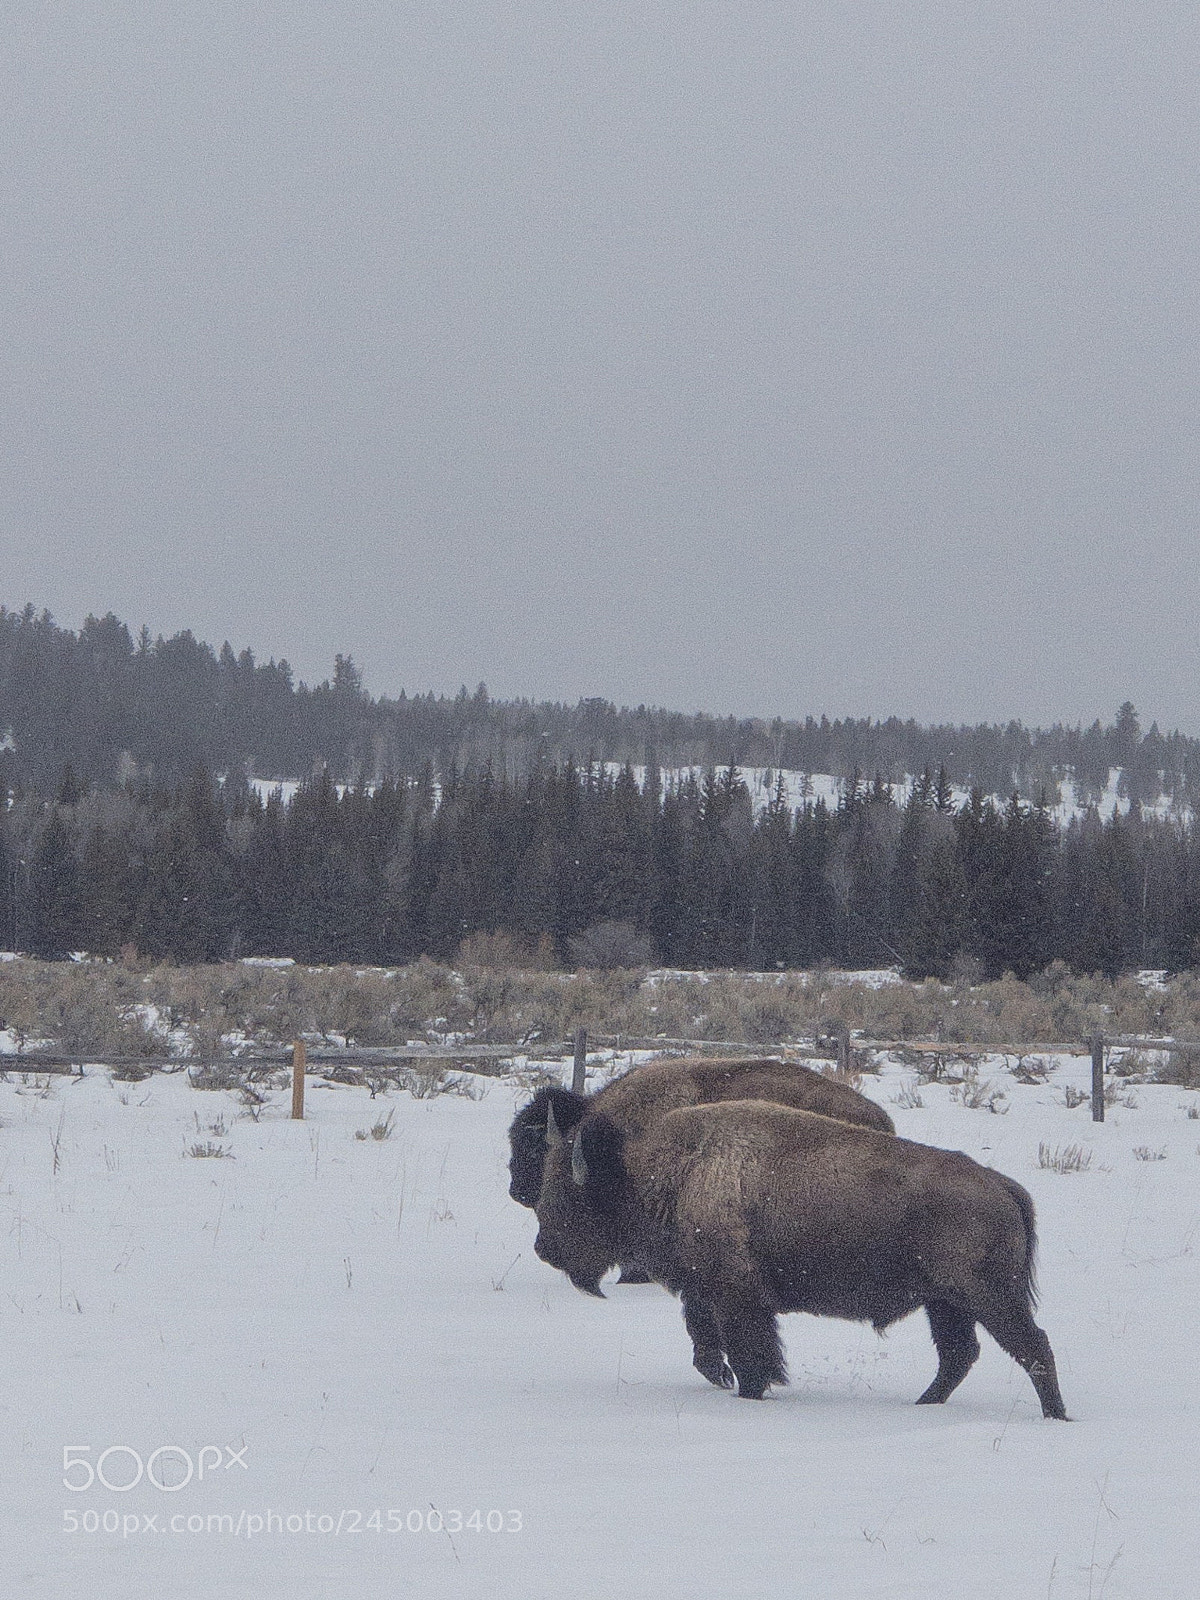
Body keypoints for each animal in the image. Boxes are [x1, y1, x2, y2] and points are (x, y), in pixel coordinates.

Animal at [534, 1099, 1067, 1420]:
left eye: (568, 1192)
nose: (543, 1247)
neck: (665, 1171)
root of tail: (1001, 1184)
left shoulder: (738, 1299)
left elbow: (749, 1353)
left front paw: (748, 1392)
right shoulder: (704, 1294)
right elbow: (708, 1348)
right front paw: (727, 1380)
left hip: (986, 1298)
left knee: (1033, 1347)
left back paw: (1055, 1417)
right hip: (947, 1304)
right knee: (959, 1355)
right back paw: (922, 1406)